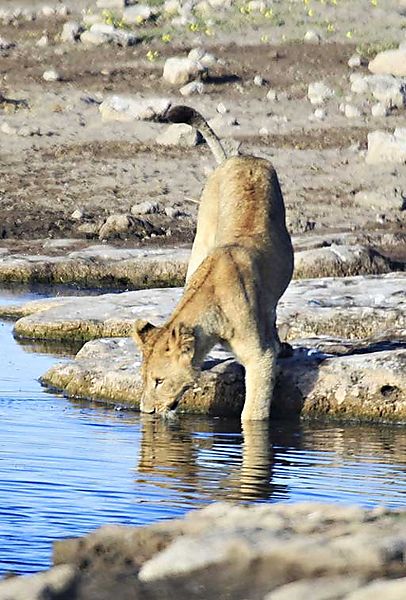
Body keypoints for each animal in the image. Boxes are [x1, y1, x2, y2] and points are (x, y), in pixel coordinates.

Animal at [135, 105, 294, 420]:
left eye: (159, 380)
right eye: (144, 379)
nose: (147, 411)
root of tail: (239, 157)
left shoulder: (260, 357)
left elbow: (253, 410)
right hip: (200, 239)